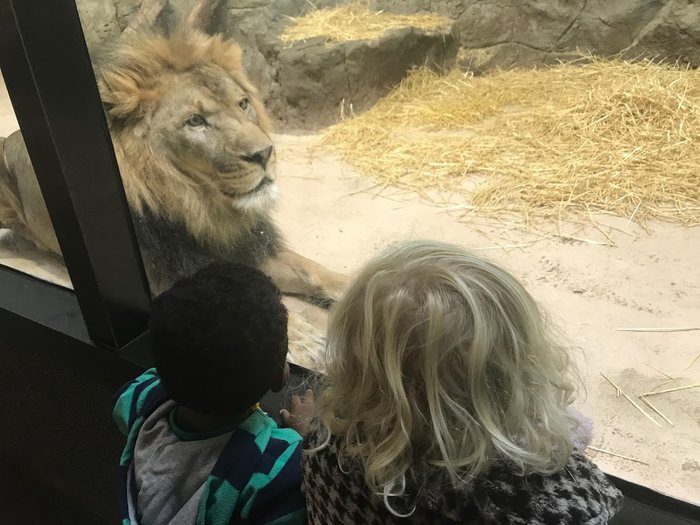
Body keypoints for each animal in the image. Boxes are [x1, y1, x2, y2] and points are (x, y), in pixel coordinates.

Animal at [0, 0, 345, 370]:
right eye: (195, 121)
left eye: (242, 104)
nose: (264, 154)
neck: (200, 209)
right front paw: (307, 340)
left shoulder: (248, 247)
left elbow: (316, 272)